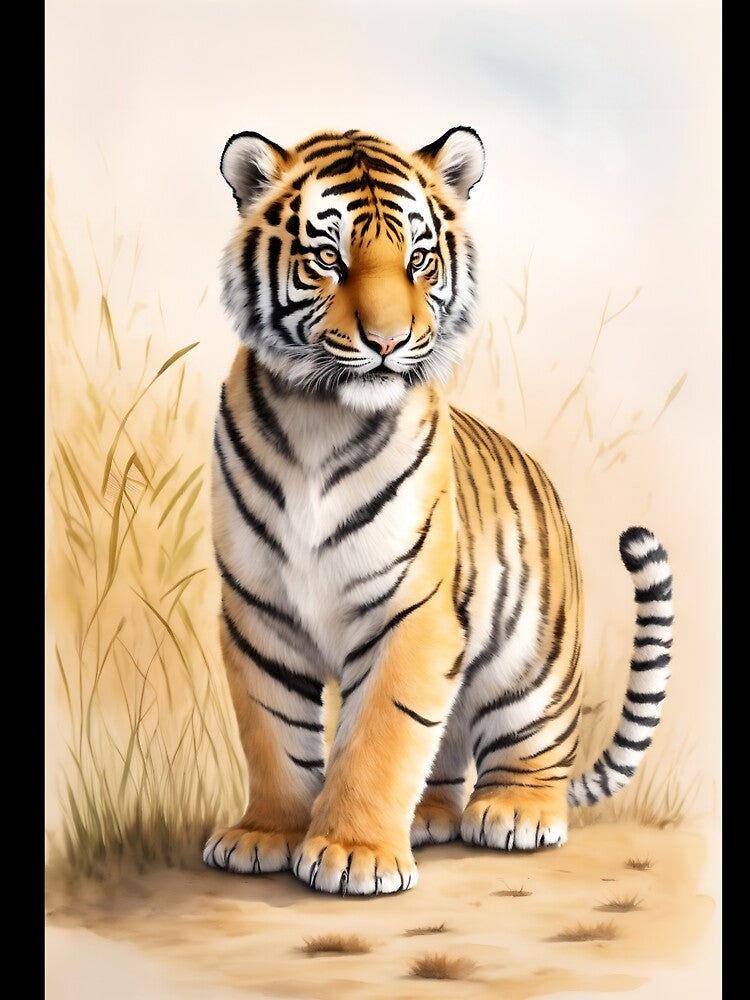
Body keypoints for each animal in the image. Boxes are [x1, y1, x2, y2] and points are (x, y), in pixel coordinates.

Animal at [203, 126, 674, 895]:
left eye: (419, 260)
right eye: (328, 257)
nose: (388, 341)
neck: (319, 418)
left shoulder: (413, 613)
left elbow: (380, 735)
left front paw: (353, 854)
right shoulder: (257, 613)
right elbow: (273, 733)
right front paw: (264, 835)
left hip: (532, 666)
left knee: (533, 748)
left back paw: (514, 811)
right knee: (445, 744)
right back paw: (427, 817)